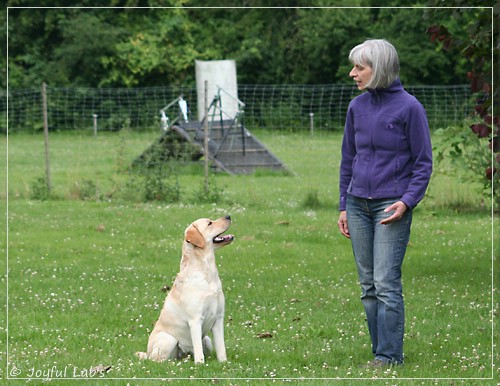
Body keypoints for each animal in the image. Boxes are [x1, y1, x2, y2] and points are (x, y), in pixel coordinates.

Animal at [137, 216, 234, 364]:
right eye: (210, 223)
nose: (228, 216)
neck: (207, 271)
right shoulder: (195, 320)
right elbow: (199, 351)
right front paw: (200, 364)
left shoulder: (218, 318)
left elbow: (221, 348)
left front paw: (223, 363)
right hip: (168, 339)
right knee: (158, 360)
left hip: (207, 340)